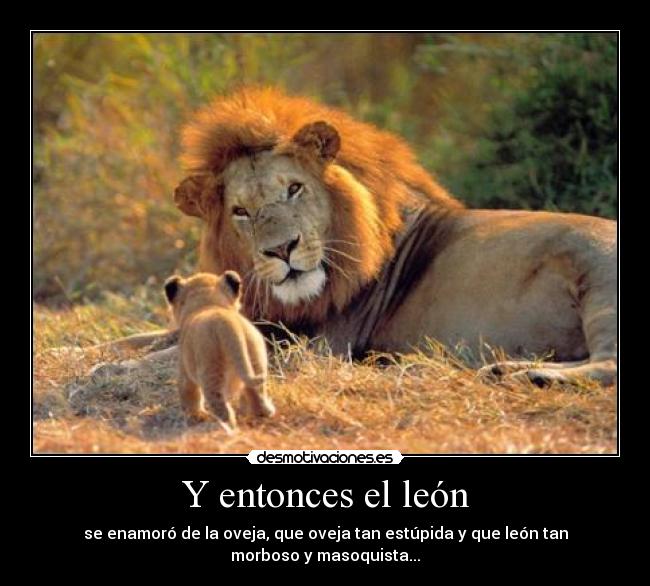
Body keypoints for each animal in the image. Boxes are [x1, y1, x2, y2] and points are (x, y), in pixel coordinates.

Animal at [108, 87, 617, 387]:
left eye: (294, 188)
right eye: (241, 212)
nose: (282, 249)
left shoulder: (315, 345)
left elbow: (172, 350)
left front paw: (114, 370)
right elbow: (143, 337)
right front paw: (97, 352)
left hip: (599, 282)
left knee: (609, 363)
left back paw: (524, 376)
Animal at [164, 270, 275, 429]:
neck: (208, 304)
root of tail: (227, 325)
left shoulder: (184, 368)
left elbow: (188, 391)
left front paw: (194, 416)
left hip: (210, 371)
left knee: (221, 406)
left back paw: (224, 427)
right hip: (255, 359)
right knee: (256, 392)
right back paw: (262, 415)